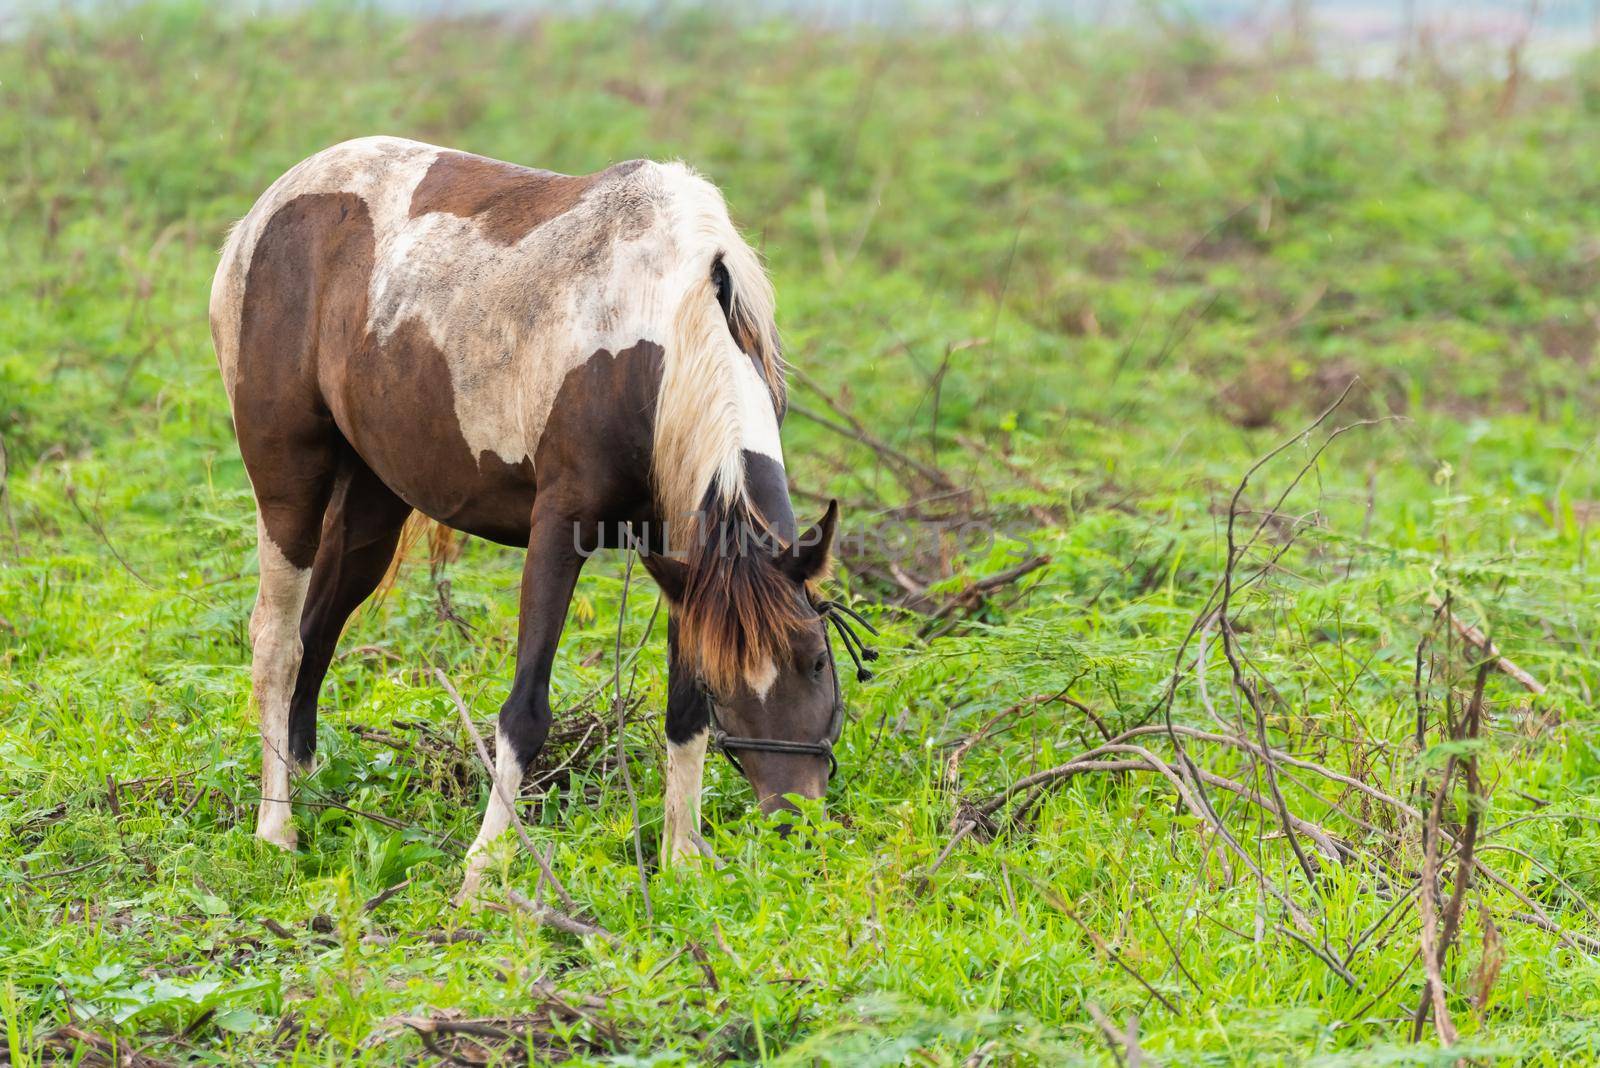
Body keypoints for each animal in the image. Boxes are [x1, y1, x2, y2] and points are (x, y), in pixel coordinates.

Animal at [219, 137, 857, 895]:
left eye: (816, 660)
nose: (795, 817)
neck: (661, 331)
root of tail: (264, 212)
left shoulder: (684, 554)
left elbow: (683, 713)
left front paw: (680, 860)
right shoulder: (560, 530)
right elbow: (525, 710)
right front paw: (481, 871)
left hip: (373, 503)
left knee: (317, 635)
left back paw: (312, 792)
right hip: (288, 484)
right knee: (277, 645)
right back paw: (277, 829)